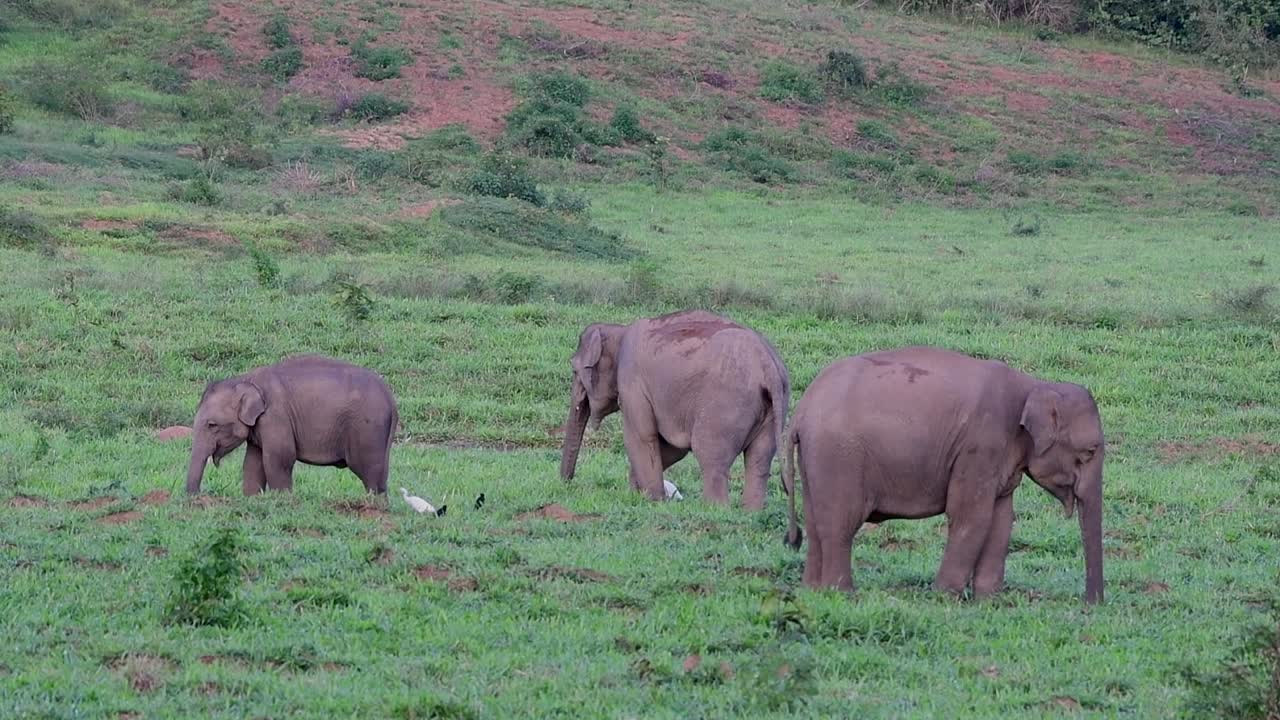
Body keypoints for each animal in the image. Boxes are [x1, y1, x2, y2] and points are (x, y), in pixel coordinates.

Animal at [186, 355, 399, 496]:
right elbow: (252, 464)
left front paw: (282, 500)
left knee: (369, 471)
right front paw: (252, 499)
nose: (195, 496)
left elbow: (279, 458)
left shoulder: (276, 416)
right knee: (380, 474)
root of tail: (391, 400)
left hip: (368, 428)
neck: (246, 379)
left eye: (212, 425)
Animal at [560, 309, 790, 509]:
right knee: (759, 460)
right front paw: (638, 493)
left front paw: (652, 501)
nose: (566, 483)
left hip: (725, 406)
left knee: (711, 457)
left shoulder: (632, 384)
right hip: (771, 409)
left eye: (574, 370)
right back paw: (750, 512)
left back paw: (713, 509)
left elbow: (641, 436)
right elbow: (673, 448)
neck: (619, 332)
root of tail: (768, 366)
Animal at [782, 346, 1105, 604]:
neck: (1034, 384)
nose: (1090, 605)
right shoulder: (980, 445)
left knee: (815, 521)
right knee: (840, 523)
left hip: (815, 460)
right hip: (839, 456)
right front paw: (944, 598)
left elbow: (1002, 520)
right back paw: (843, 594)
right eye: (1090, 452)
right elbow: (971, 516)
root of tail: (801, 411)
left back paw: (812, 590)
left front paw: (989, 601)